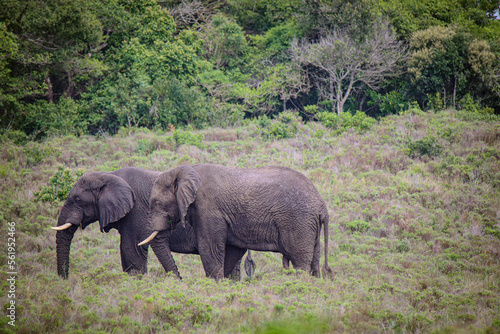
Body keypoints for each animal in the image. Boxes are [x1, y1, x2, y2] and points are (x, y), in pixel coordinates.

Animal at [52, 167, 252, 280]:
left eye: (77, 200)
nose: (66, 279)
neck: (109, 176)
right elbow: (125, 250)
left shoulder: (136, 212)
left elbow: (131, 248)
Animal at [139, 164, 332, 280]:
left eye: (157, 203)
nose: (180, 280)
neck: (185, 170)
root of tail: (322, 204)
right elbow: (231, 250)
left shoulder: (208, 209)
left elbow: (209, 248)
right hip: (310, 224)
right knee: (314, 262)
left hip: (298, 222)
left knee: (300, 262)